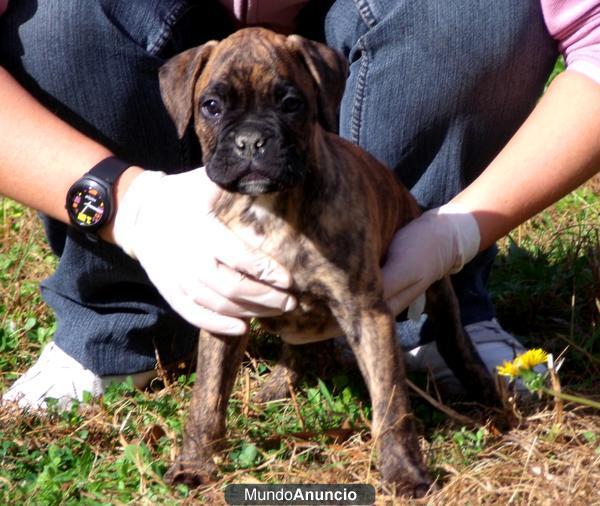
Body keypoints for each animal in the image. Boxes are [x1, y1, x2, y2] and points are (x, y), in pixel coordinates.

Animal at [157, 27, 500, 498]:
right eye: (211, 106)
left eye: (291, 103)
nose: (250, 141)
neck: (272, 207)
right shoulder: (226, 309)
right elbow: (207, 397)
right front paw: (194, 463)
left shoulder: (367, 313)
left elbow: (390, 403)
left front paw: (404, 471)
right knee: (295, 348)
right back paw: (279, 385)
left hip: (439, 296)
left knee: (454, 339)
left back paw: (489, 395)